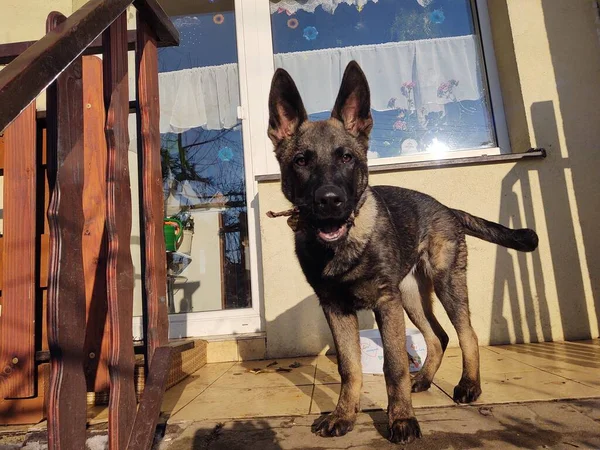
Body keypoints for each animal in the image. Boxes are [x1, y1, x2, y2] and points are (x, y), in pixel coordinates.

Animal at [268, 59, 540, 442]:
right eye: (301, 161)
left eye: (347, 158)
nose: (330, 201)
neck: (344, 245)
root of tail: (448, 208)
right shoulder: (336, 308)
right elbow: (349, 367)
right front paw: (343, 415)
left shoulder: (385, 302)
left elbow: (393, 365)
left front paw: (400, 419)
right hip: (411, 298)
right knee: (438, 336)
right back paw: (423, 379)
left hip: (444, 285)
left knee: (466, 333)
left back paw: (469, 385)